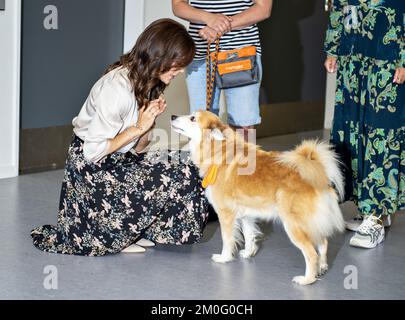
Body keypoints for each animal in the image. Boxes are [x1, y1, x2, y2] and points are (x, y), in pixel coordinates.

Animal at [170, 110, 344, 284]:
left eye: (193, 118)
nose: (172, 116)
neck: (220, 151)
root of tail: (318, 176)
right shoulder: (246, 214)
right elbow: (249, 235)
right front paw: (248, 253)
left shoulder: (226, 214)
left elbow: (227, 239)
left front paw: (224, 257)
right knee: (323, 243)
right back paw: (322, 267)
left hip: (294, 226)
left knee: (311, 253)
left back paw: (307, 279)